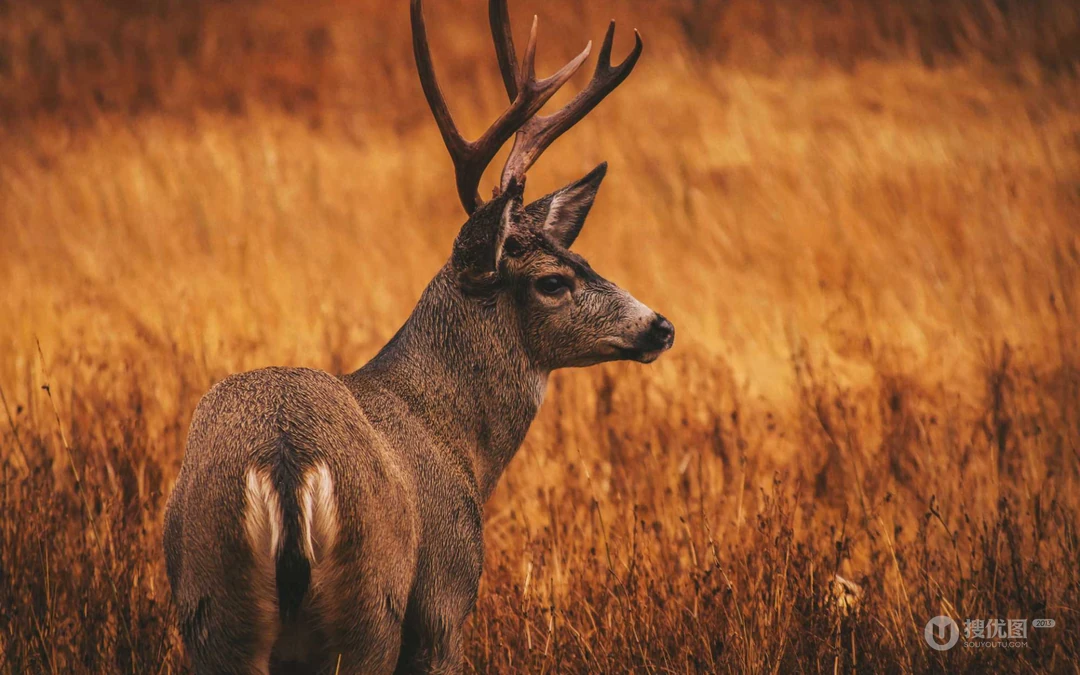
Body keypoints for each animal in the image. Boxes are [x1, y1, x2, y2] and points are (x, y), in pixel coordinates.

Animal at [163, 0, 674, 672]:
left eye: (582, 256)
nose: (660, 326)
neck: (458, 439)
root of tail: (285, 458)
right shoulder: (445, 596)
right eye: (552, 281)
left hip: (211, 603)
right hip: (372, 602)